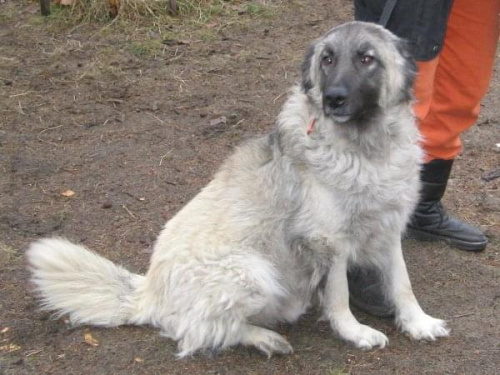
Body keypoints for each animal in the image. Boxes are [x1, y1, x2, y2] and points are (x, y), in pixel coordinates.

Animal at [26, 22, 450, 356]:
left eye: (366, 58)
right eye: (327, 60)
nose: (334, 99)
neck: (366, 149)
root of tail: (148, 289)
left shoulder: (389, 227)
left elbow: (402, 283)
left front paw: (418, 322)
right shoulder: (328, 242)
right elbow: (339, 294)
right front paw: (355, 332)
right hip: (253, 272)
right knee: (193, 331)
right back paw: (263, 338)